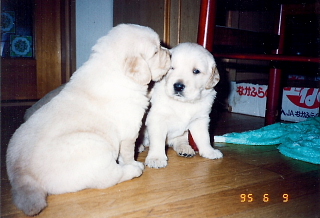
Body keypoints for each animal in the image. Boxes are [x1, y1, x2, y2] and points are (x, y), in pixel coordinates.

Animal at [5, 23, 170, 215]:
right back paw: (135, 169)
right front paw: (133, 160)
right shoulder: (129, 131)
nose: (171, 54)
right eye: (156, 51)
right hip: (96, 149)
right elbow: (128, 152)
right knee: (111, 177)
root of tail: (22, 176)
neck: (115, 74)